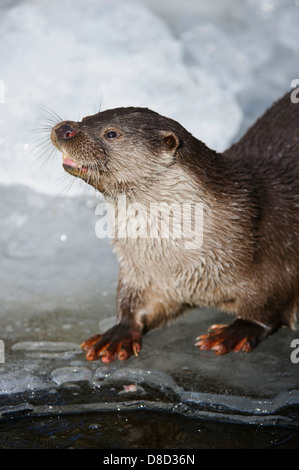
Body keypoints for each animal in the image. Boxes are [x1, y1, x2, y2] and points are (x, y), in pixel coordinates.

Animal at [50, 92, 298, 364]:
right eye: (86, 118)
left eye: (111, 133)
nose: (64, 128)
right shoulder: (141, 271)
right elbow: (132, 302)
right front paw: (117, 334)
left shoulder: (277, 253)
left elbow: (267, 305)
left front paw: (238, 330)